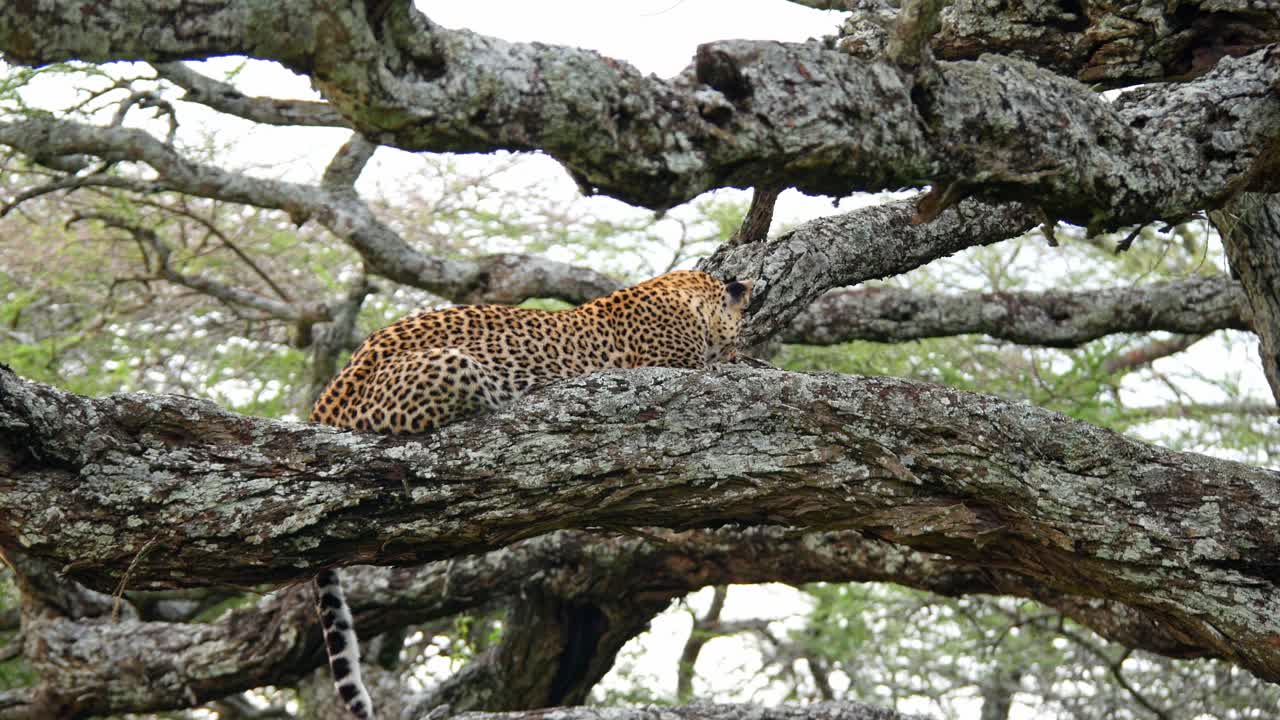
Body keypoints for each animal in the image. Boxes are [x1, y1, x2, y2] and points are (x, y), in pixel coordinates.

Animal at [308, 270, 753, 720]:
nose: (738, 344)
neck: (688, 291)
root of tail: (324, 406)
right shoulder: (680, 365)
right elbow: (716, 369)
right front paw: (743, 360)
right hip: (452, 366)